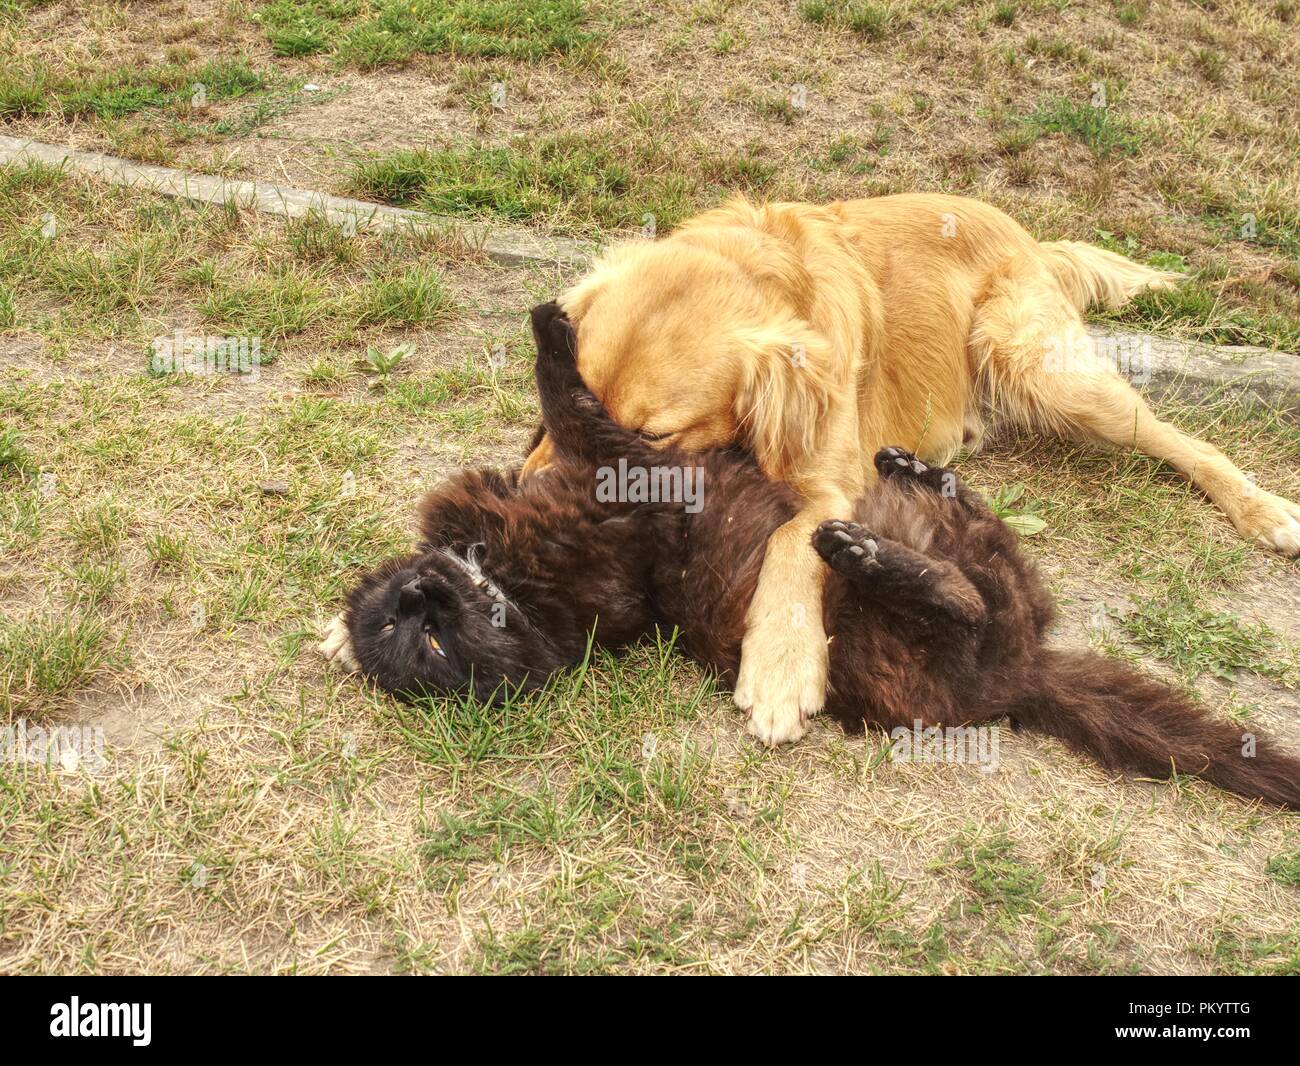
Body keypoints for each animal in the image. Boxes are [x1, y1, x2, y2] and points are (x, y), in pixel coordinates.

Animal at [338, 300, 1300, 806]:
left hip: (986, 557)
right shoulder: (630, 475)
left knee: (986, 546)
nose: (421, 597)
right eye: (425, 646)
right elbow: (571, 396)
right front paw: (550, 327)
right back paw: (865, 551)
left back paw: (913, 471)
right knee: (964, 603)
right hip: (922, 646)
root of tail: (1029, 673)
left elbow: (562, 409)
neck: (518, 582)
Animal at [520, 197, 1300, 748]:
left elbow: (791, 543)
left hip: (1039, 366)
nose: (535, 492)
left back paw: (1265, 510)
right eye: (573, 390)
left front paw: (779, 669)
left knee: (1180, 440)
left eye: (652, 435)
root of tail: (1030, 239)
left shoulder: (834, 480)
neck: (766, 267)